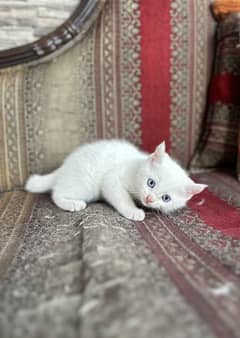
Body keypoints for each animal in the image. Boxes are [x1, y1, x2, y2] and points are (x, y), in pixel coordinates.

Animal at [25, 139, 206, 220]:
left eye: (166, 198)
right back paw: (72, 203)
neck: (136, 166)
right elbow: (121, 196)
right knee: (57, 193)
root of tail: (64, 166)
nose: (149, 198)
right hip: (85, 185)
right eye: (151, 182)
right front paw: (133, 211)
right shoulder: (111, 179)